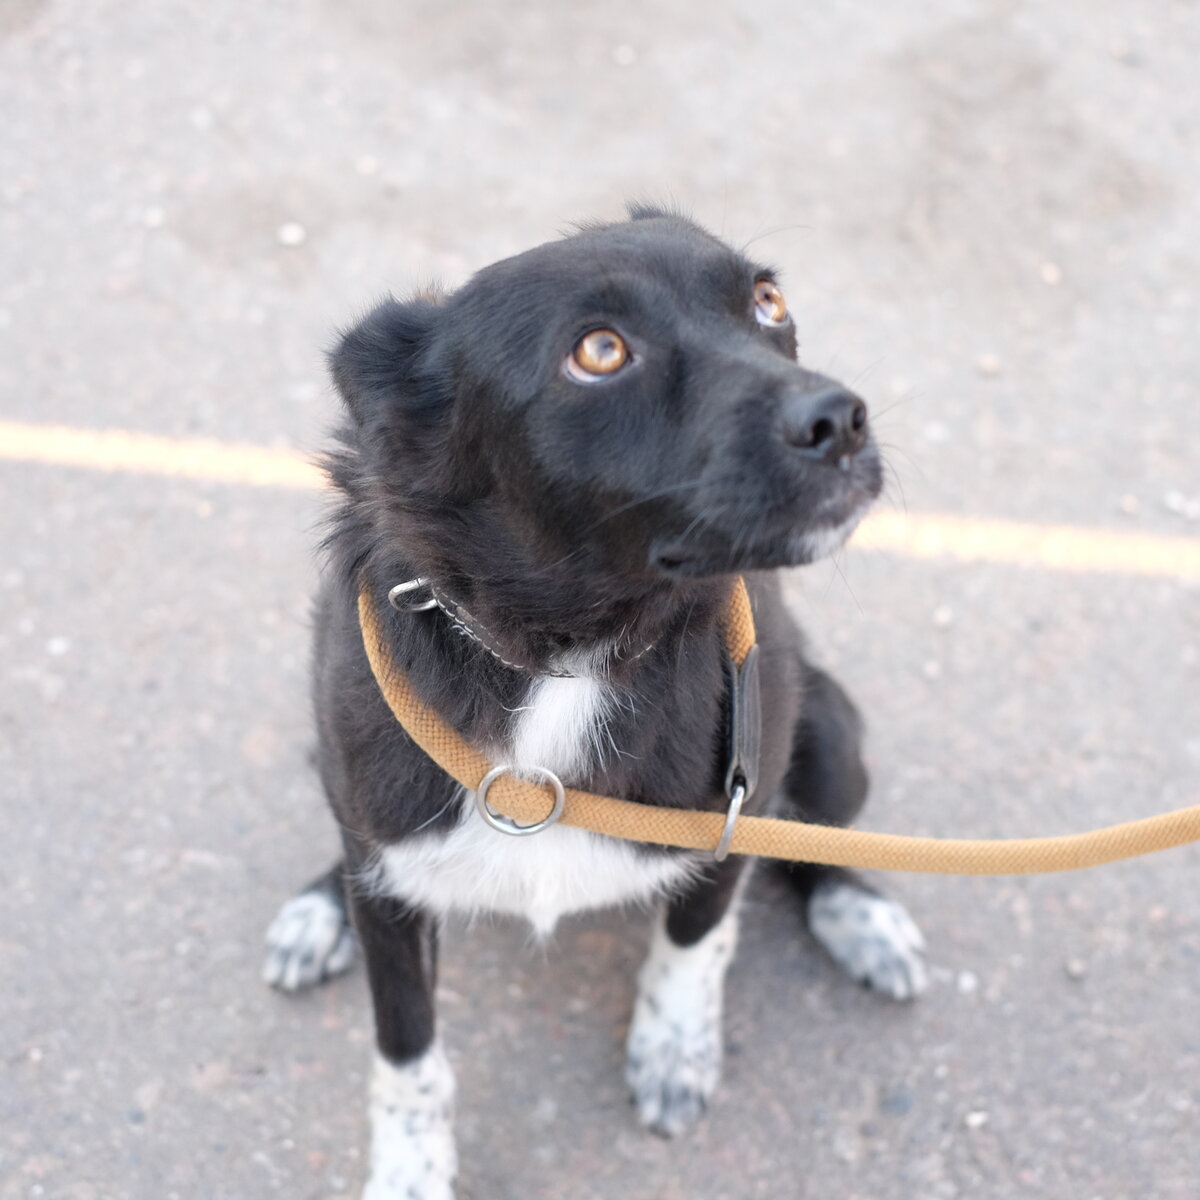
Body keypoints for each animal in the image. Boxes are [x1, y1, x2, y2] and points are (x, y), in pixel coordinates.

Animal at [265, 208, 926, 1200]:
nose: (840, 419)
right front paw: (411, 1175)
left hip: (832, 734)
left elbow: (695, 944)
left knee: (821, 845)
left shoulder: (736, 816)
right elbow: (408, 1055)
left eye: (768, 301)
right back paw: (320, 908)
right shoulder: (390, 878)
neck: (569, 658)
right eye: (601, 351)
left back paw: (861, 918)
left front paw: (672, 1052)